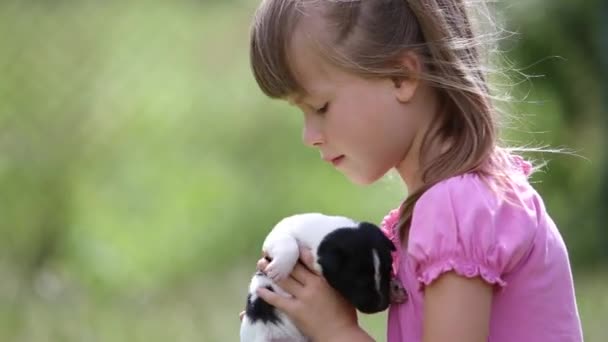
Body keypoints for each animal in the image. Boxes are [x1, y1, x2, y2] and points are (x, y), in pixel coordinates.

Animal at [240, 212, 396, 340]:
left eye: (389, 270)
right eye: (359, 280)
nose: (381, 306)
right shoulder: (279, 232)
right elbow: (288, 243)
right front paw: (280, 268)